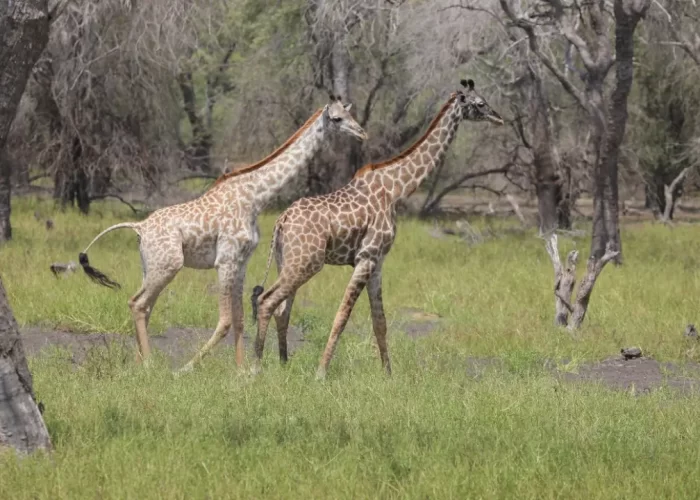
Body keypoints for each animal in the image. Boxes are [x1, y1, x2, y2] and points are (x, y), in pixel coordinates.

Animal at [77, 96, 367, 371]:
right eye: (338, 118)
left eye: (351, 114)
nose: (362, 133)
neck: (256, 197)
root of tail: (139, 228)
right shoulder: (225, 260)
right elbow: (226, 320)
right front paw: (187, 368)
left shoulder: (241, 261)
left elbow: (239, 319)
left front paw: (240, 371)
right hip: (169, 265)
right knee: (137, 303)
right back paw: (149, 365)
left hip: (151, 266)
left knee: (144, 306)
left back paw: (139, 365)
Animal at [251, 79, 503, 379]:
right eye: (480, 103)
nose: (499, 118)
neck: (397, 190)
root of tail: (281, 221)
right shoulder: (366, 257)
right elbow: (342, 316)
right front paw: (321, 373)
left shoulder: (378, 262)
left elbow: (380, 321)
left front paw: (388, 375)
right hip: (307, 263)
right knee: (267, 300)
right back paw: (255, 368)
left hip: (288, 261)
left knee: (282, 308)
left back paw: (283, 364)